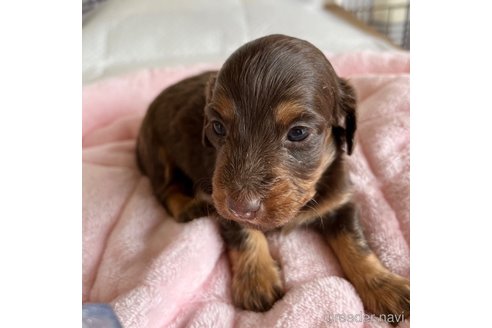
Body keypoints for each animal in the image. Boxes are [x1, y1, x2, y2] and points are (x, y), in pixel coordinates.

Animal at [136, 35, 410, 320]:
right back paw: (189, 206)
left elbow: (356, 242)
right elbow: (243, 231)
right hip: (156, 149)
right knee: (165, 189)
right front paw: (257, 280)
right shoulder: (220, 198)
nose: (241, 206)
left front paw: (385, 285)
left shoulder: (340, 201)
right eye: (218, 127)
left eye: (298, 132)